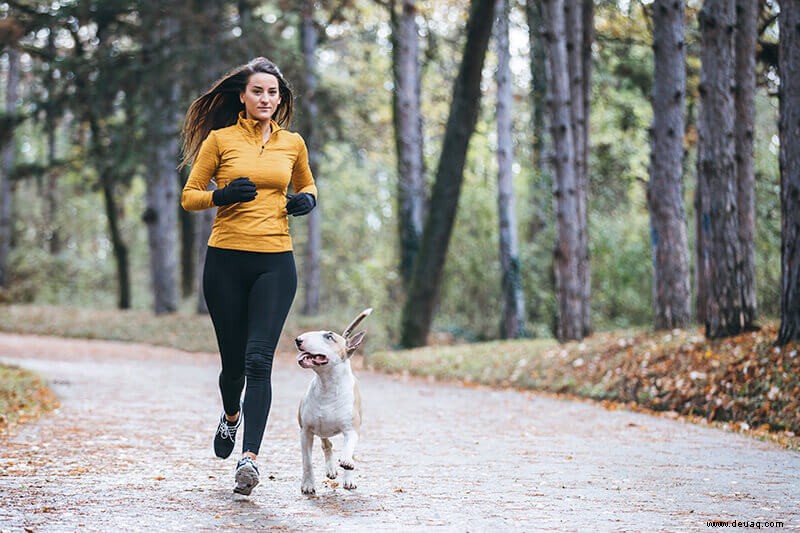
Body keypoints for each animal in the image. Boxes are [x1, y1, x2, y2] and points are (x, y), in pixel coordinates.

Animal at [294, 308, 372, 494]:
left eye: (329, 337)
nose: (298, 339)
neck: (327, 385)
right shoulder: (305, 431)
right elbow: (307, 461)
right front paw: (308, 485)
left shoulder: (351, 430)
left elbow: (348, 449)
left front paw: (347, 464)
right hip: (321, 430)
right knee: (327, 445)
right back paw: (331, 469)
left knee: (347, 451)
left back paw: (348, 478)